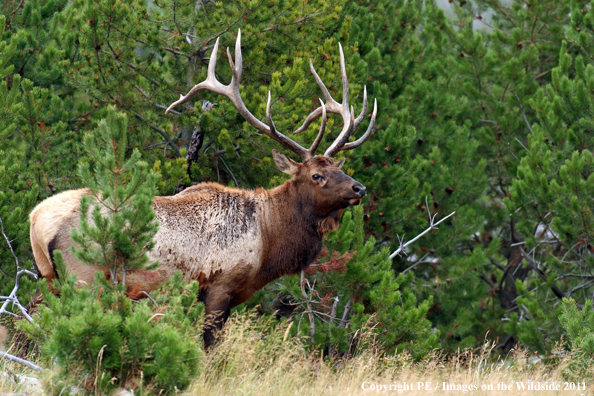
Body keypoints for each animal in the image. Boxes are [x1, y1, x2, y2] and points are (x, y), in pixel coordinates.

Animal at [28, 30, 374, 346]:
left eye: (340, 168)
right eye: (316, 175)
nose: (359, 188)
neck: (268, 238)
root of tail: (36, 219)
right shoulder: (220, 284)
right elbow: (210, 345)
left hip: (48, 277)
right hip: (84, 275)